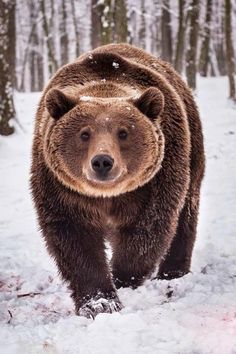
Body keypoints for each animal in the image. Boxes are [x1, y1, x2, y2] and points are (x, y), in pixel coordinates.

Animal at [30, 42, 205, 318]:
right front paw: (100, 302)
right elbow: (74, 238)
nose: (102, 161)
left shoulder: (157, 180)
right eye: (84, 134)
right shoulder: (59, 187)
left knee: (186, 215)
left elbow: (149, 229)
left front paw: (122, 278)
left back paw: (172, 274)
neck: (108, 196)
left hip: (192, 151)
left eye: (123, 132)